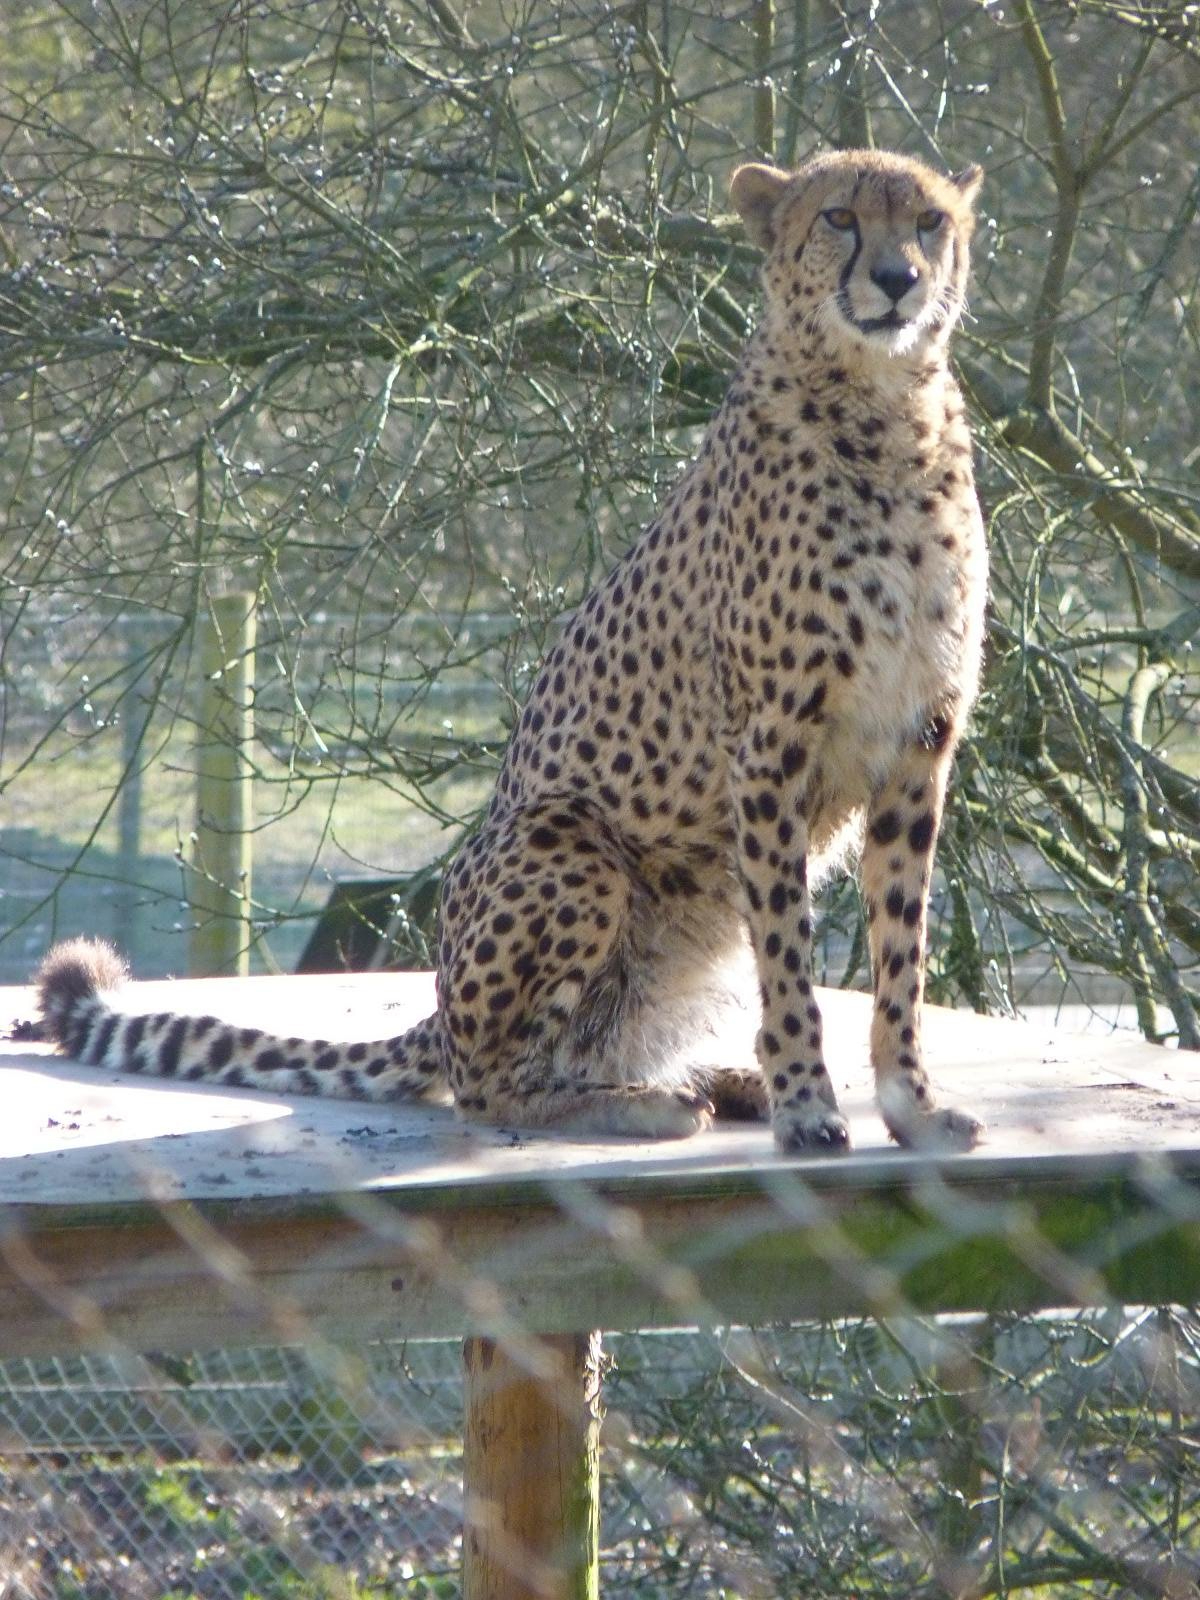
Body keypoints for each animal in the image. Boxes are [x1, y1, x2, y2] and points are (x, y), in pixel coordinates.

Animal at [36, 147, 988, 1155]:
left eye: (929, 221)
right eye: (841, 217)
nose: (898, 279)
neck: (889, 415)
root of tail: (441, 1007)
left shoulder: (920, 744)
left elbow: (900, 952)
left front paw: (909, 1104)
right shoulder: (770, 746)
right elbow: (789, 955)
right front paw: (809, 1102)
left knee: (586, 1043)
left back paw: (717, 1081)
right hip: (572, 846)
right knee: (489, 1085)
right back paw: (646, 1103)